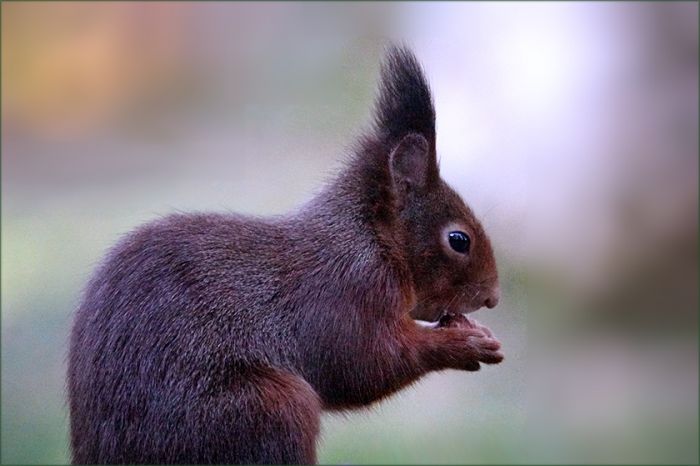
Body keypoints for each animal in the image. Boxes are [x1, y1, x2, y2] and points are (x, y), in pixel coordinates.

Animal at [67, 45, 503, 465]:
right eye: (459, 240)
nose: (492, 297)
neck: (369, 239)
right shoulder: (345, 290)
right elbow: (363, 364)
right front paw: (464, 344)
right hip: (265, 409)